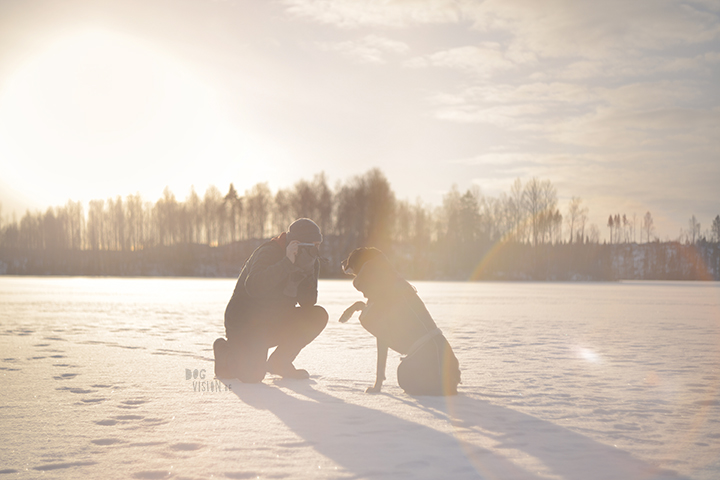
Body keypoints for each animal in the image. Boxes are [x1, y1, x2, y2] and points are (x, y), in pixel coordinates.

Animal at [338, 246, 462, 396]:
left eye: (351, 256)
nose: (341, 262)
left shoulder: (380, 333)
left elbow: (380, 366)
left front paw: (375, 388)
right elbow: (360, 303)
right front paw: (345, 315)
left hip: (404, 367)